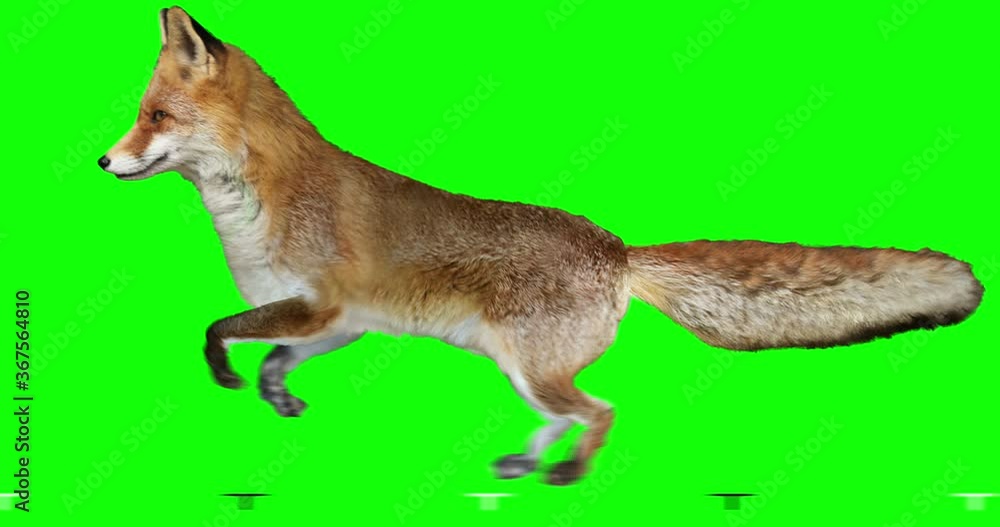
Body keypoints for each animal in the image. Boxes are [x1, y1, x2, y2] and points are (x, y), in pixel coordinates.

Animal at [100, 7, 983, 485]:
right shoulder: (338, 321)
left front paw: (228, 372)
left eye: (155, 118)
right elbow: (276, 355)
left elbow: (216, 329)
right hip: (519, 366)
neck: (256, 210)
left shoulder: (319, 306)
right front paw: (275, 392)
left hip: (533, 364)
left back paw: (565, 471)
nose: (103, 162)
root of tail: (621, 251)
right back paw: (528, 462)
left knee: (601, 410)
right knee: (569, 412)